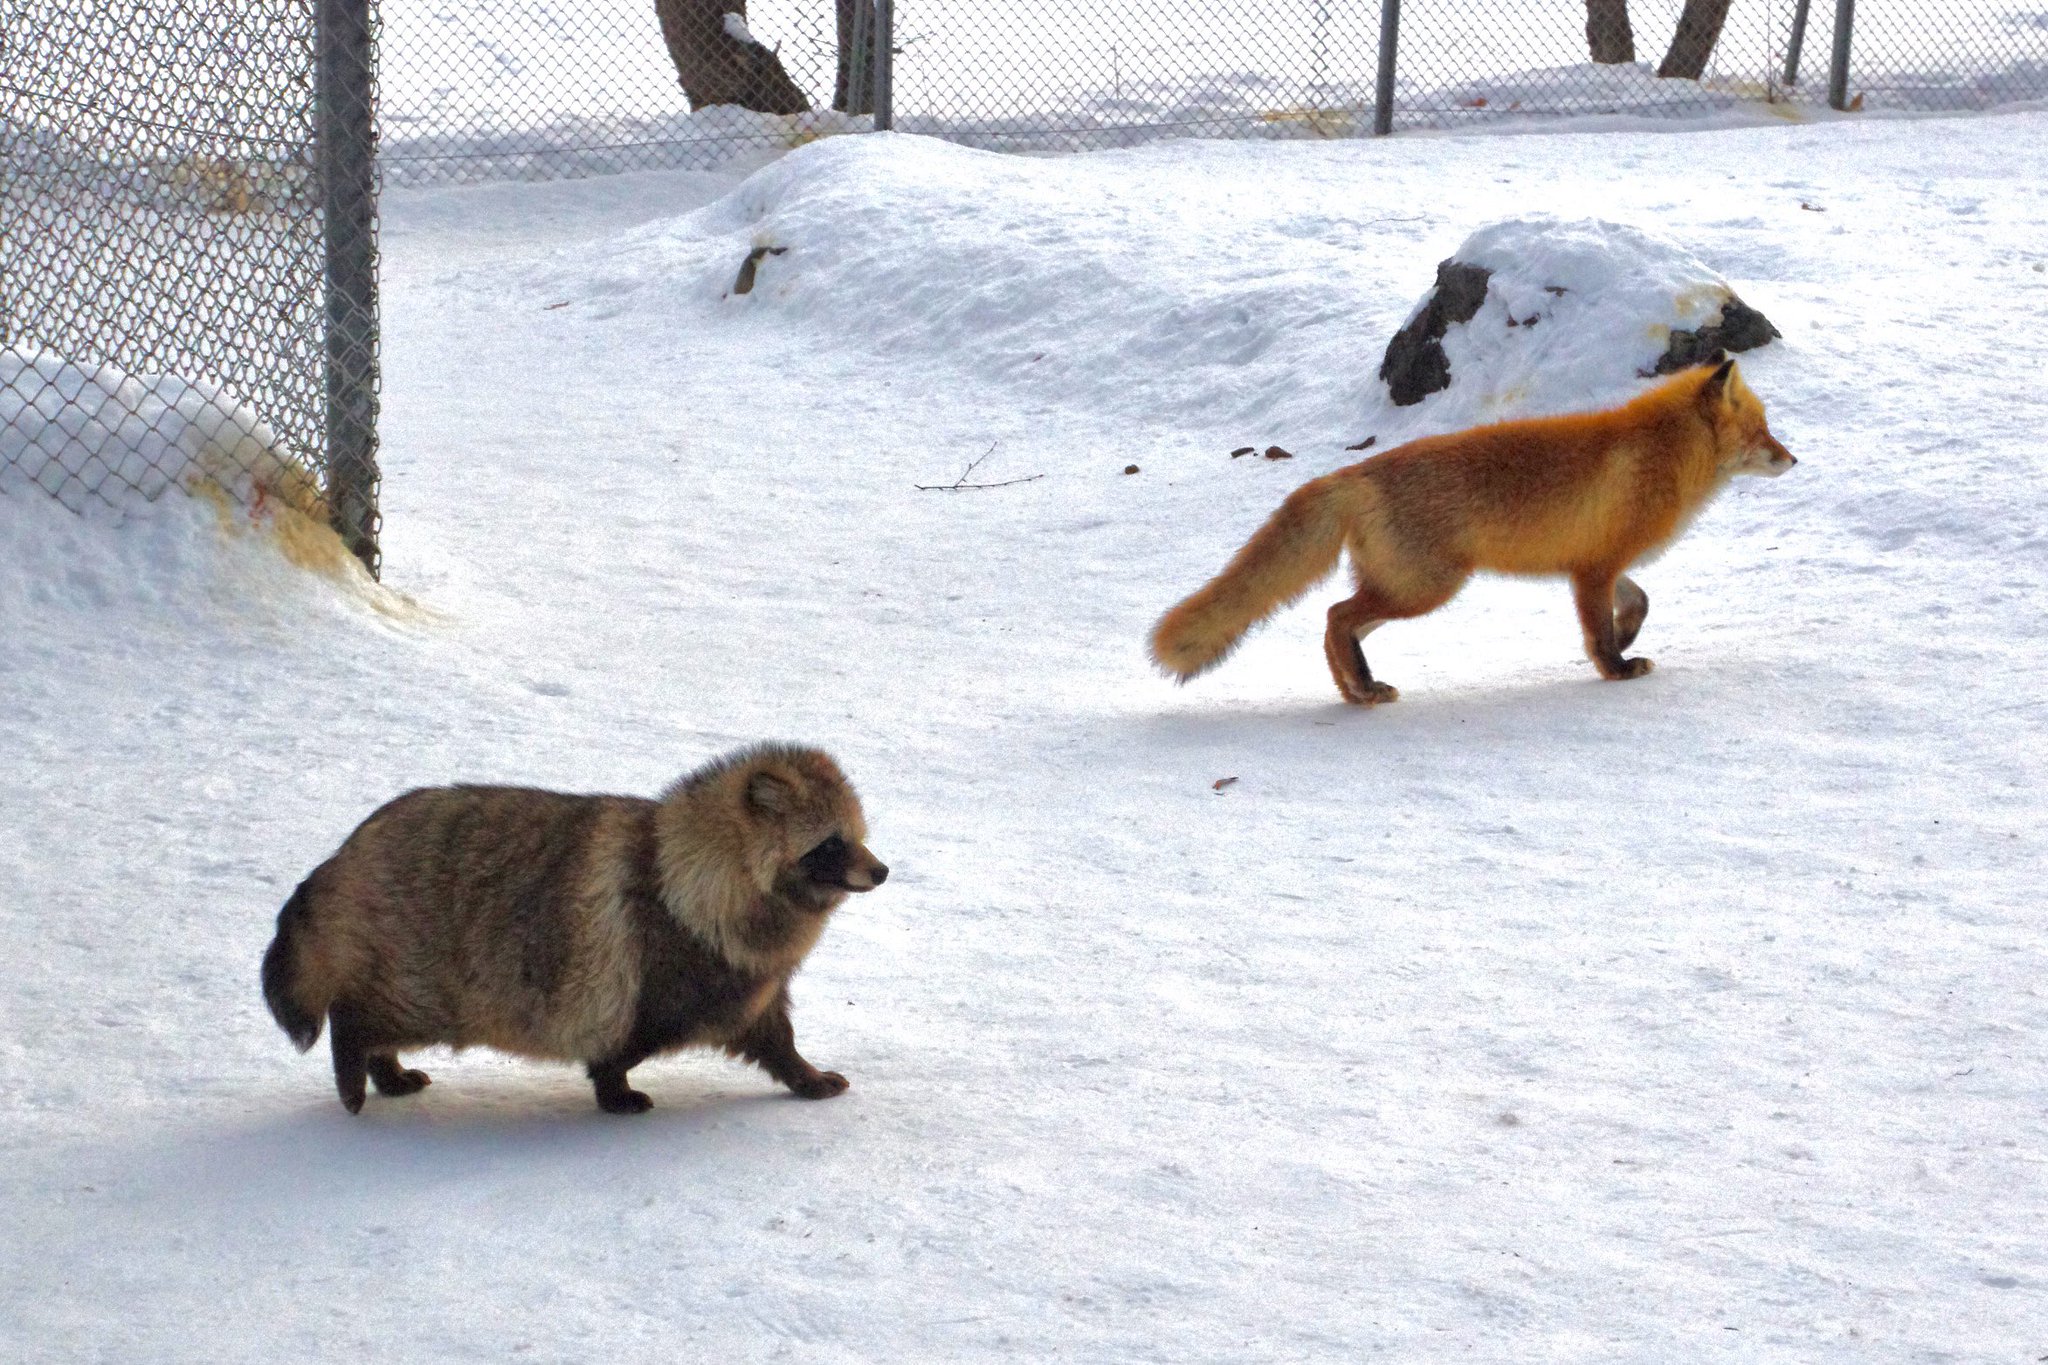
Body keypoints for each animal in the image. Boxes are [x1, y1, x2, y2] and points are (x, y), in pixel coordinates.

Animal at [261, 743, 887, 1115]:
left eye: (856, 836)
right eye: (831, 844)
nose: (882, 871)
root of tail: (342, 857)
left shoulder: (744, 980)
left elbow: (772, 1034)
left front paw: (803, 1074)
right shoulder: (667, 965)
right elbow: (620, 1043)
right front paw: (613, 1088)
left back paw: (383, 1067)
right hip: (422, 971)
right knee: (362, 1012)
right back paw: (355, 1056)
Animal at [1151, 356, 1796, 704]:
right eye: (1763, 430)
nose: (1793, 459)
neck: (1663, 454)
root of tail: (1353, 473)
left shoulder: (1599, 563)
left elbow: (1638, 602)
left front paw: (1628, 635)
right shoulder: (1592, 569)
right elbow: (1598, 635)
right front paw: (1616, 668)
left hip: (1405, 589)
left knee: (1336, 623)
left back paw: (1355, 689)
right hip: (1425, 589)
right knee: (1335, 617)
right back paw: (1364, 689)